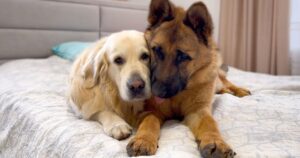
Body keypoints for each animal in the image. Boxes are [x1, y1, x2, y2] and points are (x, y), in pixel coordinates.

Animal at [125, 0, 250, 157]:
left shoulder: (199, 111)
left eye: (183, 56)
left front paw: (216, 142)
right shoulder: (151, 111)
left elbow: (210, 124)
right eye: (156, 50)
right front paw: (143, 140)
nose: (156, 92)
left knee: (227, 83)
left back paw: (239, 91)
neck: (179, 95)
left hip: (218, 79)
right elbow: (150, 121)